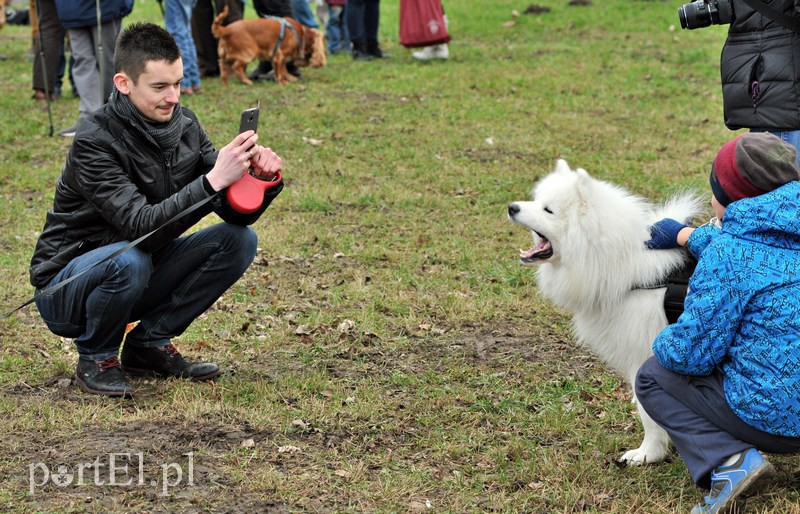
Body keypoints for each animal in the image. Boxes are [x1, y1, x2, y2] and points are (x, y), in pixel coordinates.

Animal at [510, 158, 704, 462]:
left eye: (548, 210)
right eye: (537, 200)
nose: (512, 207)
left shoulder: (644, 356)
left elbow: (648, 412)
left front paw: (647, 454)